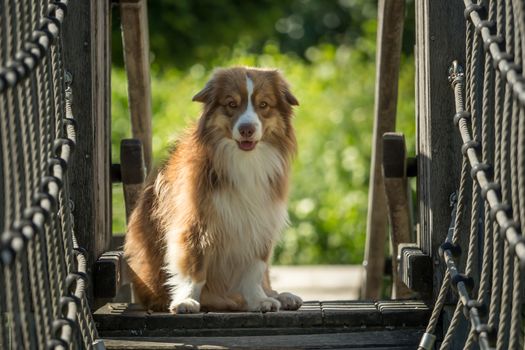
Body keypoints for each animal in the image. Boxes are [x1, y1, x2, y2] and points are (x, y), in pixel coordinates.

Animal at [124, 67, 302, 314]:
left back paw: (280, 296)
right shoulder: (194, 224)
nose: (247, 130)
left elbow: (254, 269)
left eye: (264, 104)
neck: (243, 160)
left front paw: (258, 299)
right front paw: (187, 300)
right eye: (231, 103)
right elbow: (194, 268)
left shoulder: (261, 223)